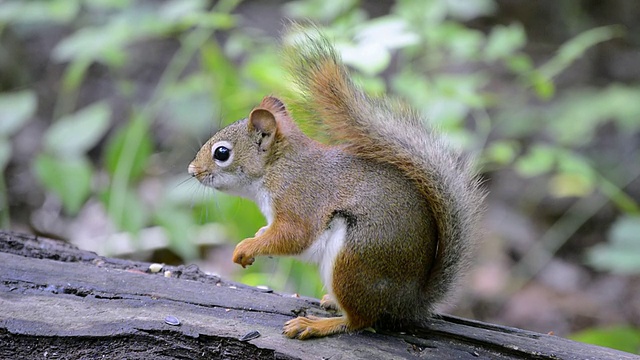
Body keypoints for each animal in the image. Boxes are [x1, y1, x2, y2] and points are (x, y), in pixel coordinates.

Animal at [189, 26, 484, 338]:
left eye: (222, 153)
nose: (192, 170)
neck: (278, 168)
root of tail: (409, 302)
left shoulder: (300, 199)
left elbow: (293, 236)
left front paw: (247, 247)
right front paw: (258, 235)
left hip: (354, 258)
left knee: (360, 320)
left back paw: (317, 324)